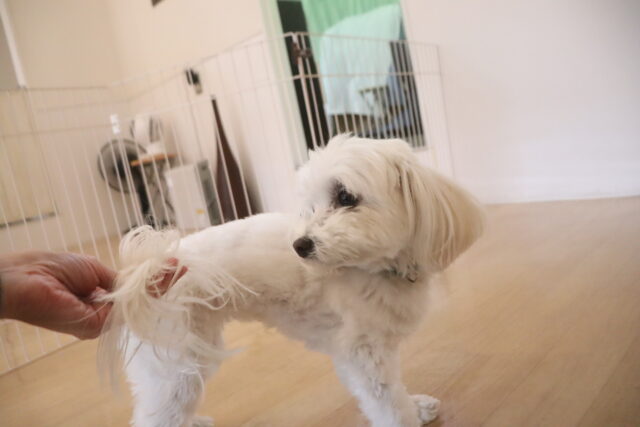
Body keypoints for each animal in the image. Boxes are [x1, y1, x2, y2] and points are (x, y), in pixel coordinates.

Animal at [99, 135, 484, 427]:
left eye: (346, 197)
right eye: (311, 205)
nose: (300, 245)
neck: (370, 269)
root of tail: (147, 272)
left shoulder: (360, 355)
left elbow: (393, 393)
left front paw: (417, 406)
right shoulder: (364, 354)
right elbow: (389, 405)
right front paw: (408, 416)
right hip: (176, 368)